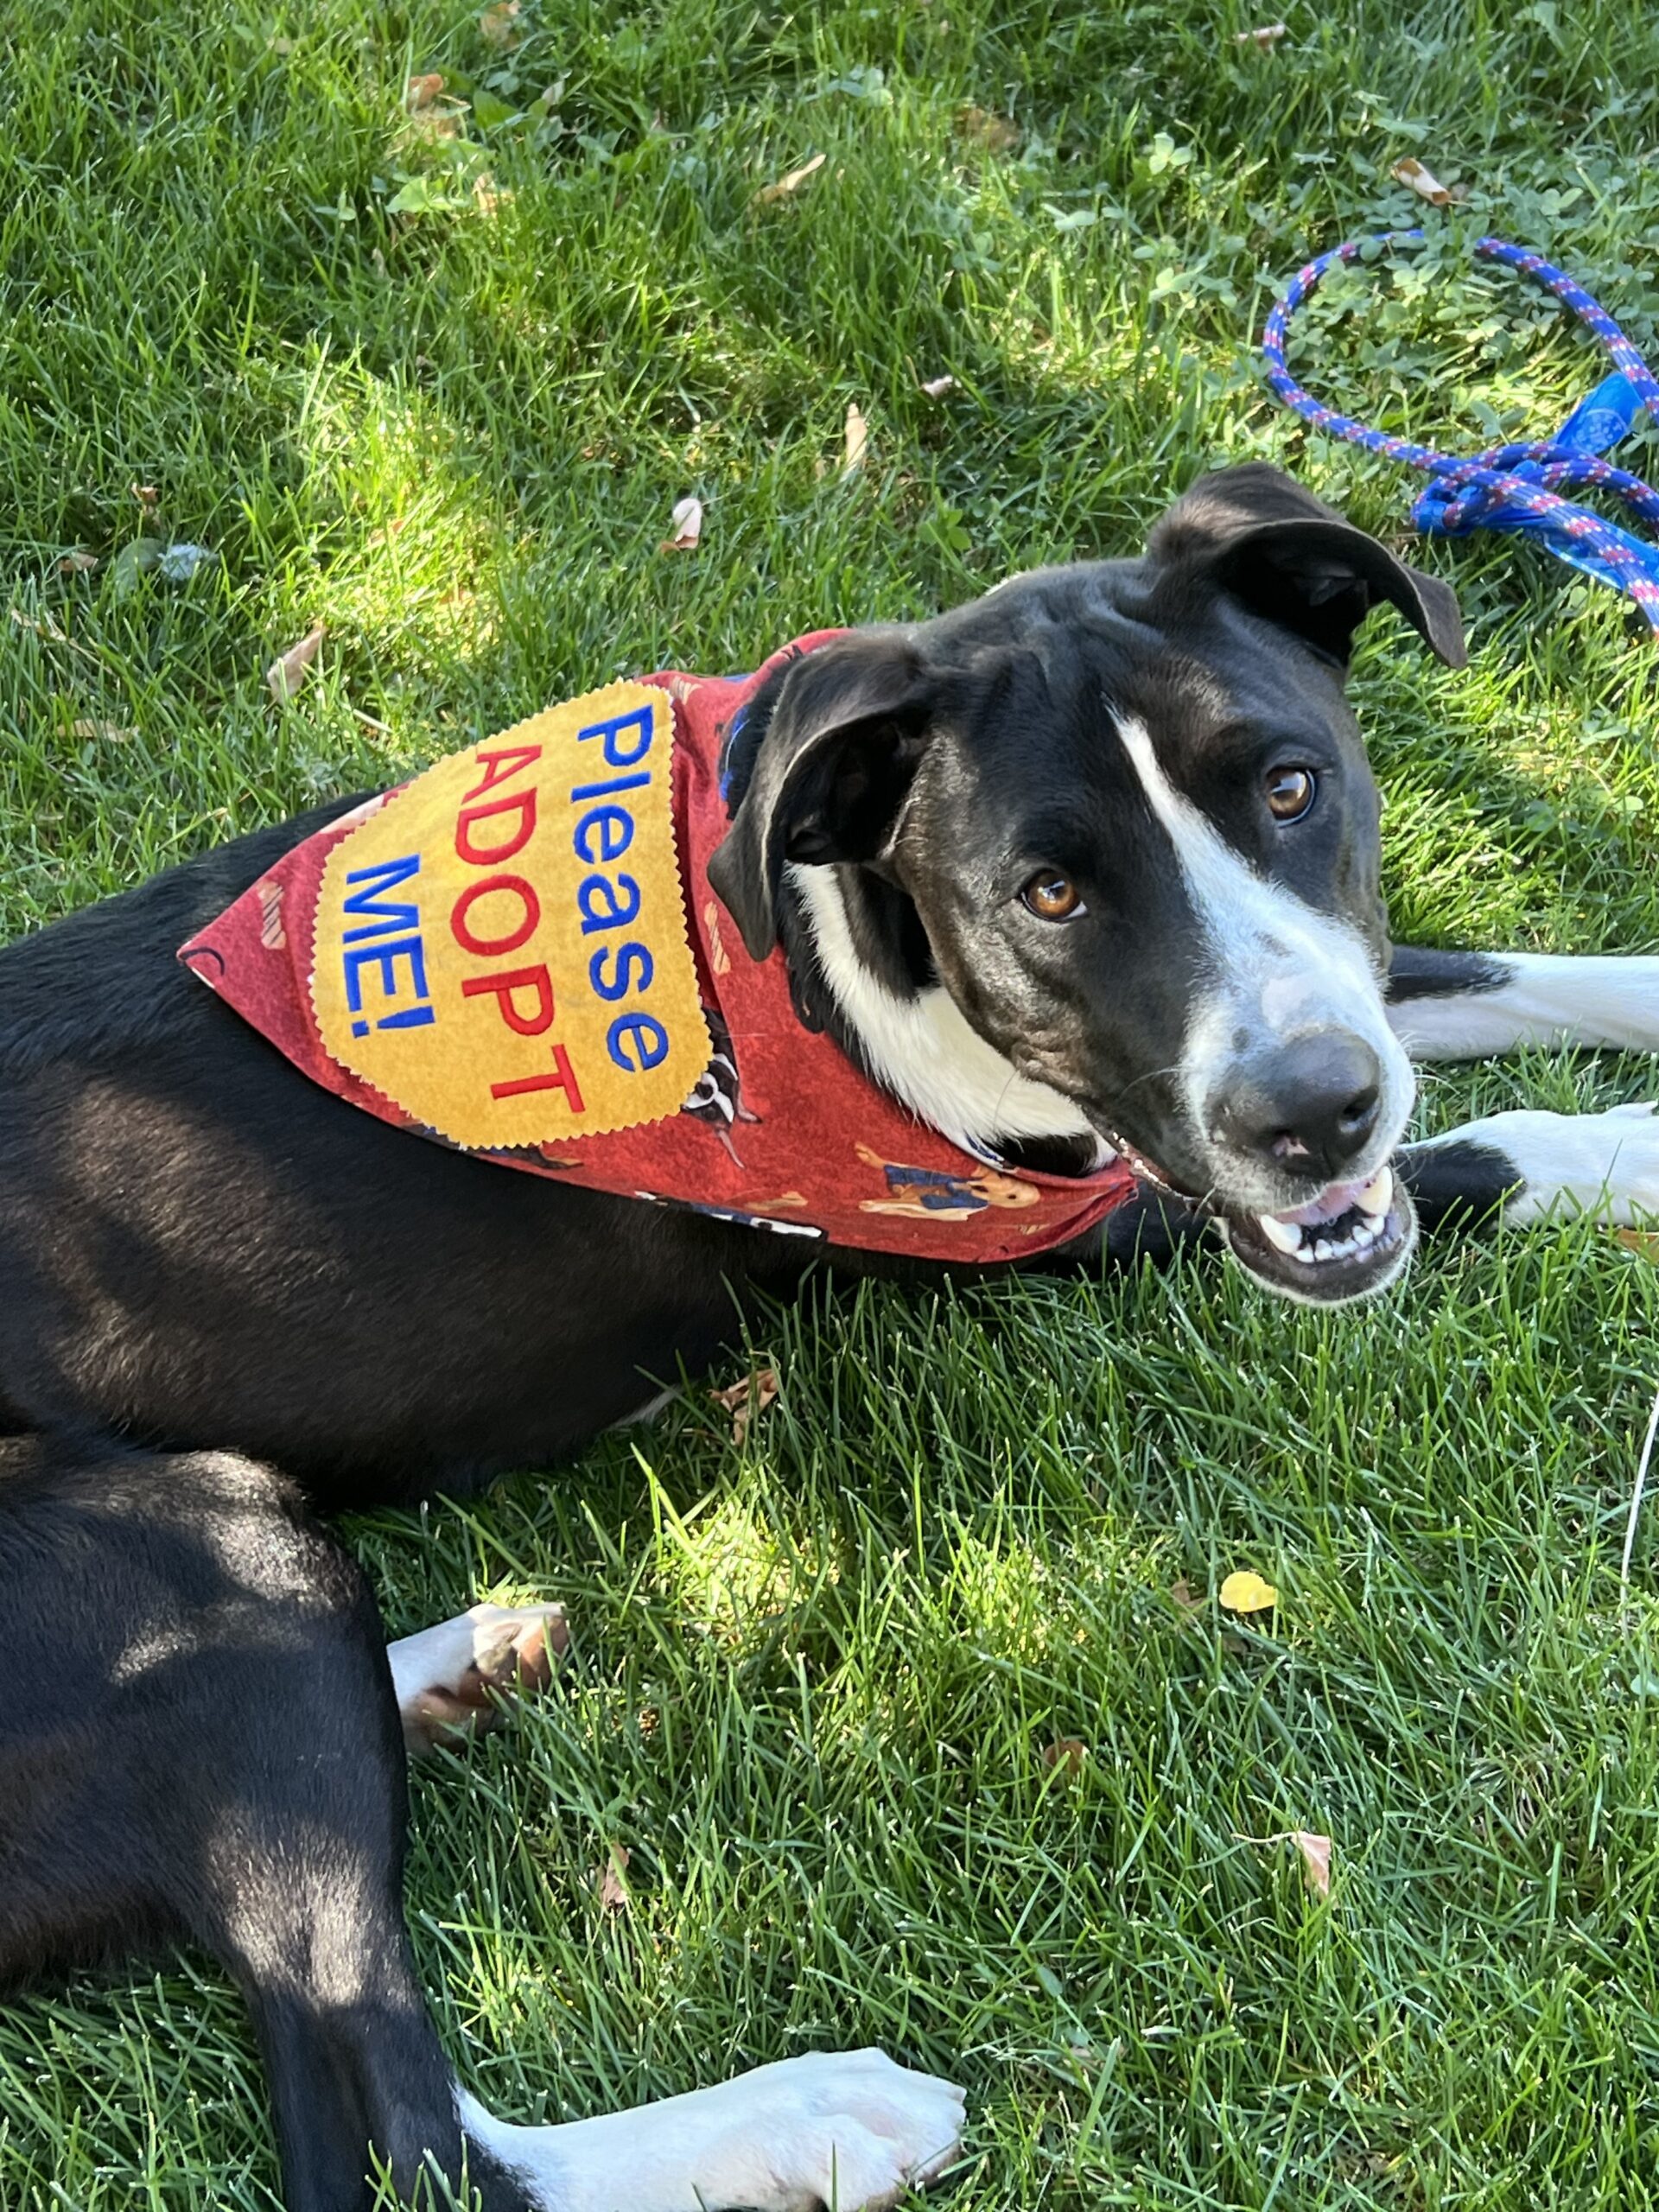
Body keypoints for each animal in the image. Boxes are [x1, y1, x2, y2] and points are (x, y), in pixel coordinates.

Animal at [3, 457, 1659, 2202]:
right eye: (1049, 892)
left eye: (1289, 786)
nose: (1312, 1114)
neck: (820, 921)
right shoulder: (1067, 1210)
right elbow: (1482, 1150)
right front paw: (1622, 1152)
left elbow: (1493, 970)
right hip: (206, 1544)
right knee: (403, 2144)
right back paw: (803, 2115)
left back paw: (452, 1666)